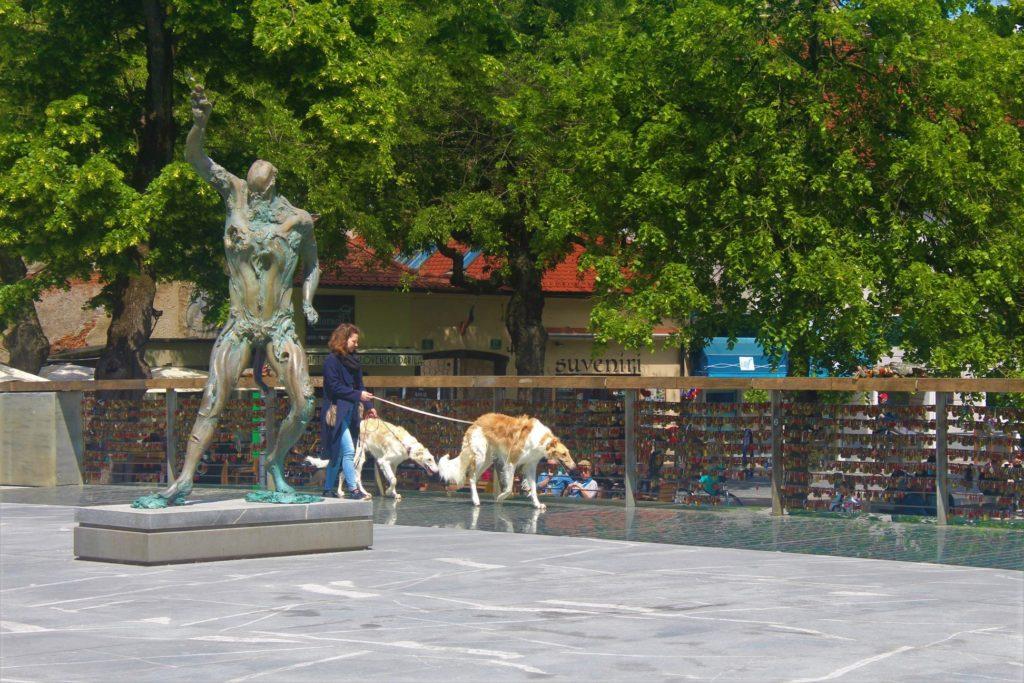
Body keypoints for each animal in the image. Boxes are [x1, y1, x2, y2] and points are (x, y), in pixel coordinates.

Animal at [434, 411, 573, 507]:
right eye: (564, 454)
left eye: (568, 453)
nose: (574, 466)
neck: (542, 440)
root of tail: (476, 422)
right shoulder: (511, 462)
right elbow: (509, 488)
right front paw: (500, 498)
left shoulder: (530, 466)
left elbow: (533, 488)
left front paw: (537, 504)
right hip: (480, 458)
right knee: (472, 477)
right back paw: (476, 500)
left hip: (487, 460)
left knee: (473, 477)